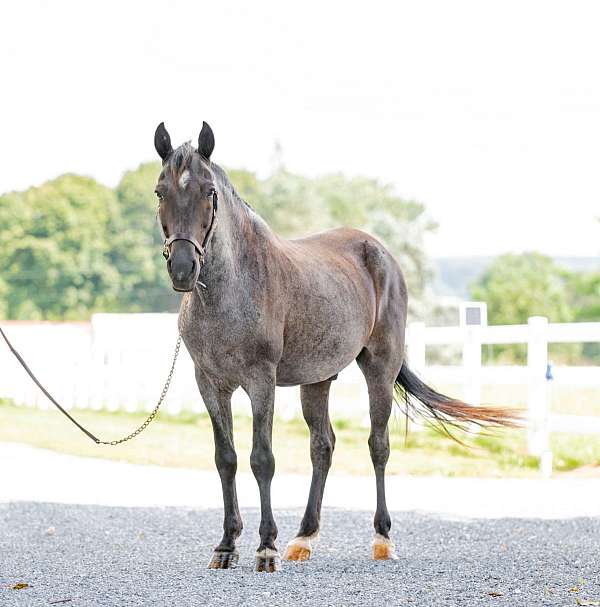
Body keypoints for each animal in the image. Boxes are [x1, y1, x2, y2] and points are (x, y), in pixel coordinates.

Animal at [152, 121, 512, 572]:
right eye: (160, 191)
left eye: (209, 191)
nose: (183, 268)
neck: (231, 288)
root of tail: (382, 254)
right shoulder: (210, 383)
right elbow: (226, 458)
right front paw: (226, 545)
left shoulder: (260, 381)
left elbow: (261, 459)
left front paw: (265, 547)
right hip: (317, 379)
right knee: (322, 447)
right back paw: (303, 537)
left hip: (380, 368)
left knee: (378, 445)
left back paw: (382, 538)